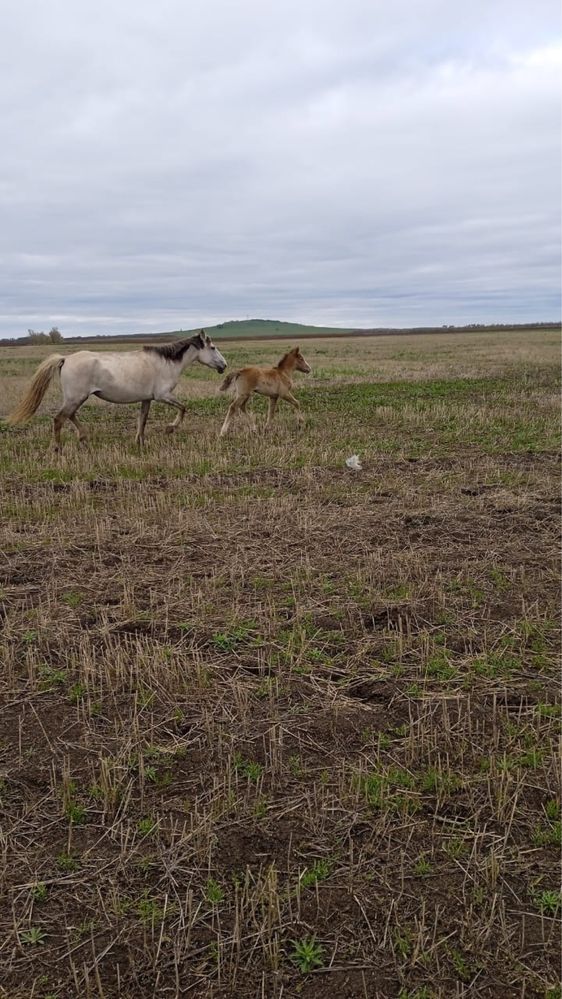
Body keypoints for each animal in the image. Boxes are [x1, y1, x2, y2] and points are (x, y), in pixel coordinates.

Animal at [6, 332, 225, 450]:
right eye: (213, 347)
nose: (224, 365)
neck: (166, 363)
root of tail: (65, 359)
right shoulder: (163, 396)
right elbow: (183, 408)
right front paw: (170, 428)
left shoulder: (147, 399)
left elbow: (142, 420)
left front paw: (140, 441)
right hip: (76, 397)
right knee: (59, 419)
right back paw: (58, 448)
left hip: (76, 398)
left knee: (70, 416)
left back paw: (83, 437)